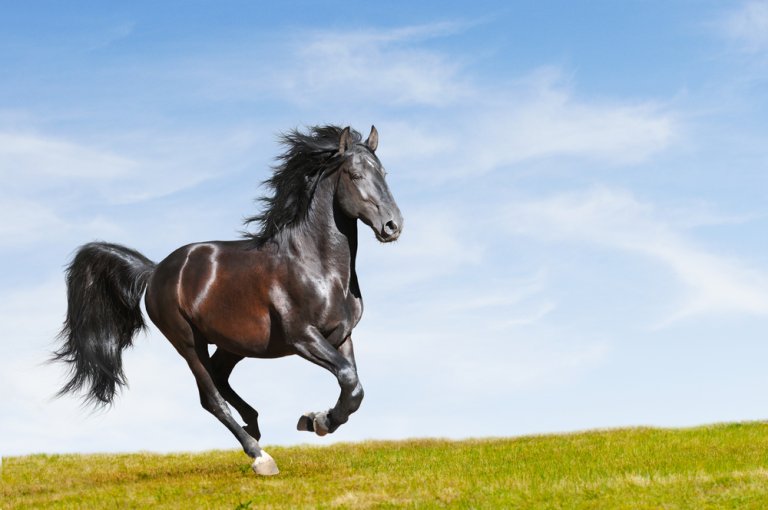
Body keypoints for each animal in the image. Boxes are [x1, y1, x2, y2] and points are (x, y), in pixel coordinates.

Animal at [53, 125, 403, 475]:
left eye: (384, 173)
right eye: (355, 175)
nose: (393, 226)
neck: (316, 267)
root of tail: (154, 271)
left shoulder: (341, 335)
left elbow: (353, 388)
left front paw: (314, 419)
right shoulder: (303, 337)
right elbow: (348, 379)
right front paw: (317, 421)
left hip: (234, 343)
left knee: (220, 379)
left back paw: (254, 426)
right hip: (188, 342)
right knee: (210, 397)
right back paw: (259, 455)